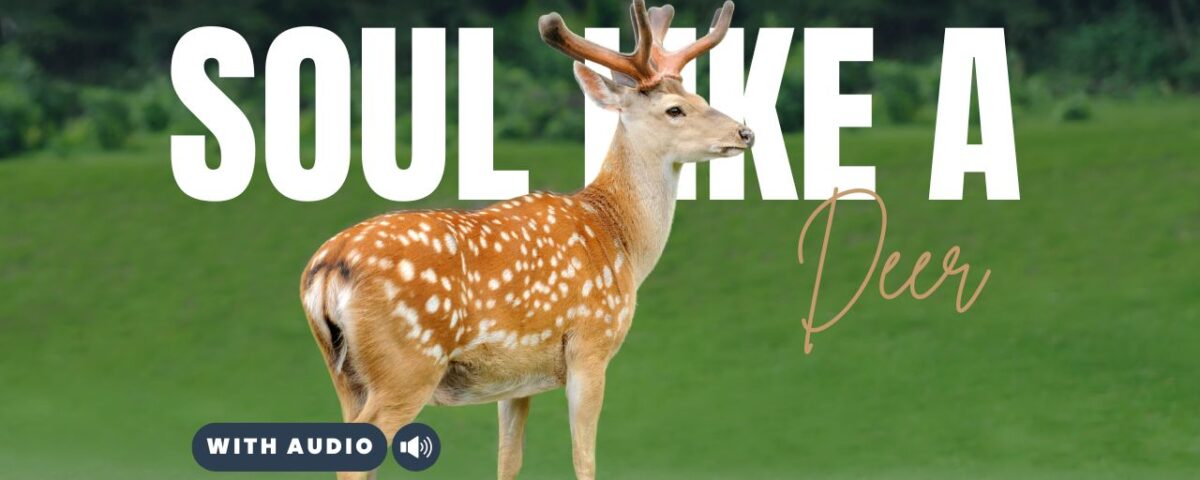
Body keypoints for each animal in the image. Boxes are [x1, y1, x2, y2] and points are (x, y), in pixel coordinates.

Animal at [299, 1, 751, 478]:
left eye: (701, 98)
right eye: (675, 110)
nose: (745, 132)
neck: (621, 239)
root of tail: (327, 268)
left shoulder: (515, 379)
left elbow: (509, 460)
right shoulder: (590, 342)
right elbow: (584, 457)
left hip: (345, 373)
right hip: (407, 363)